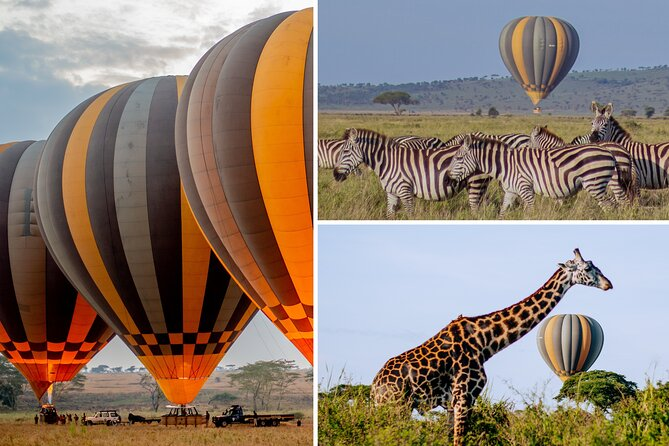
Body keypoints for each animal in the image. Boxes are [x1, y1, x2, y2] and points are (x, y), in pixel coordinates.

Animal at [332, 127, 494, 218]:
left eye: (345, 151)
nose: (335, 175)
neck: (387, 162)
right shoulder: (392, 192)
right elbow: (389, 216)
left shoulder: (405, 191)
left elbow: (410, 215)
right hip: (481, 185)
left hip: (475, 183)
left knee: (475, 209)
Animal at [370, 249, 612, 444]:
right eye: (587, 268)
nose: (608, 284)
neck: (486, 342)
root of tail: (374, 389)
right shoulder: (464, 396)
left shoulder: (452, 403)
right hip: (395, 406)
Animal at [444, 133, 632, 215]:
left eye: (458, 158)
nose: (447, 177)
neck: (505, 165)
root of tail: (609, 152)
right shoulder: (511, 191)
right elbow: (503, 212)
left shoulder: (525, 188)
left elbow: (530, 212)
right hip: (600, 184)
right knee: (616, 202)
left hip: (595, 183)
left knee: (611, 204)